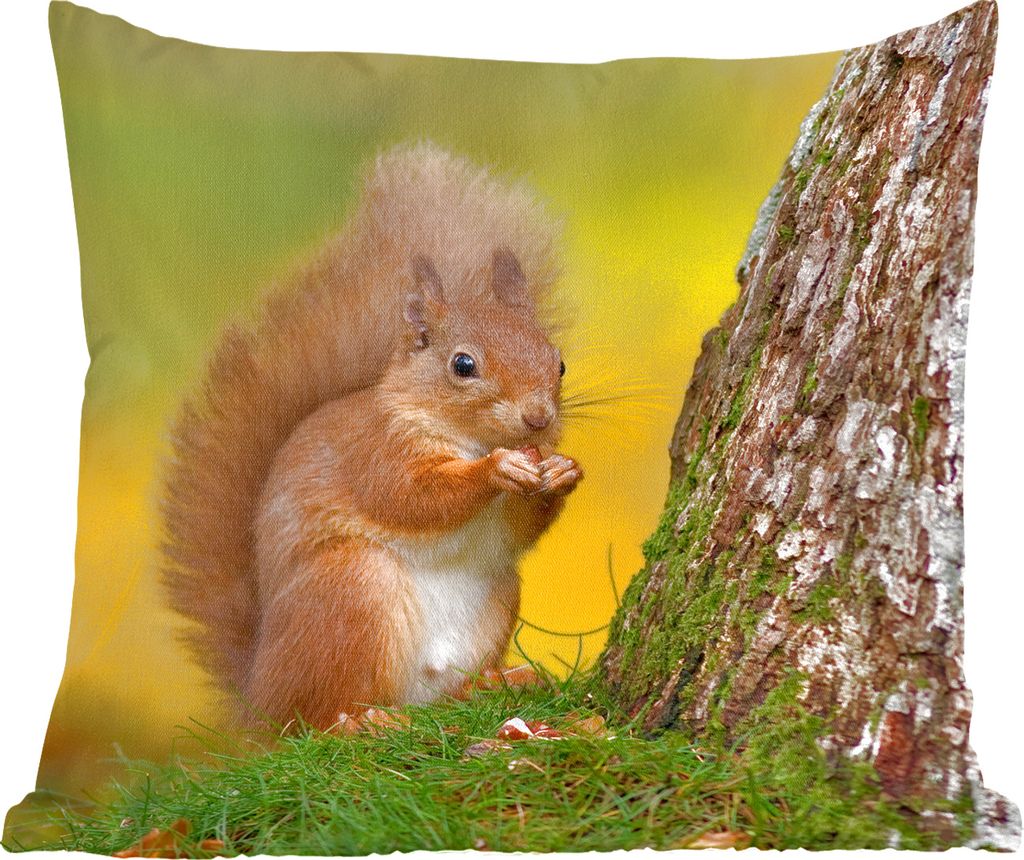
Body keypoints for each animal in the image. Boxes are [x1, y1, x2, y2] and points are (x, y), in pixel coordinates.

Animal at [161, 142, 582, 729]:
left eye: (559, 363)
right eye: (463, 365)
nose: (540, 419)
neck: (461, 434)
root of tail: (259, 698)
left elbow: (518, 529)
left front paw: (562, 471)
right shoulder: (374, 452)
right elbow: (411, 497)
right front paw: (494, 469)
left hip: (497, 596)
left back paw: (494, 683)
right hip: (352, 591)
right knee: (318, 718)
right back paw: (363, 721)